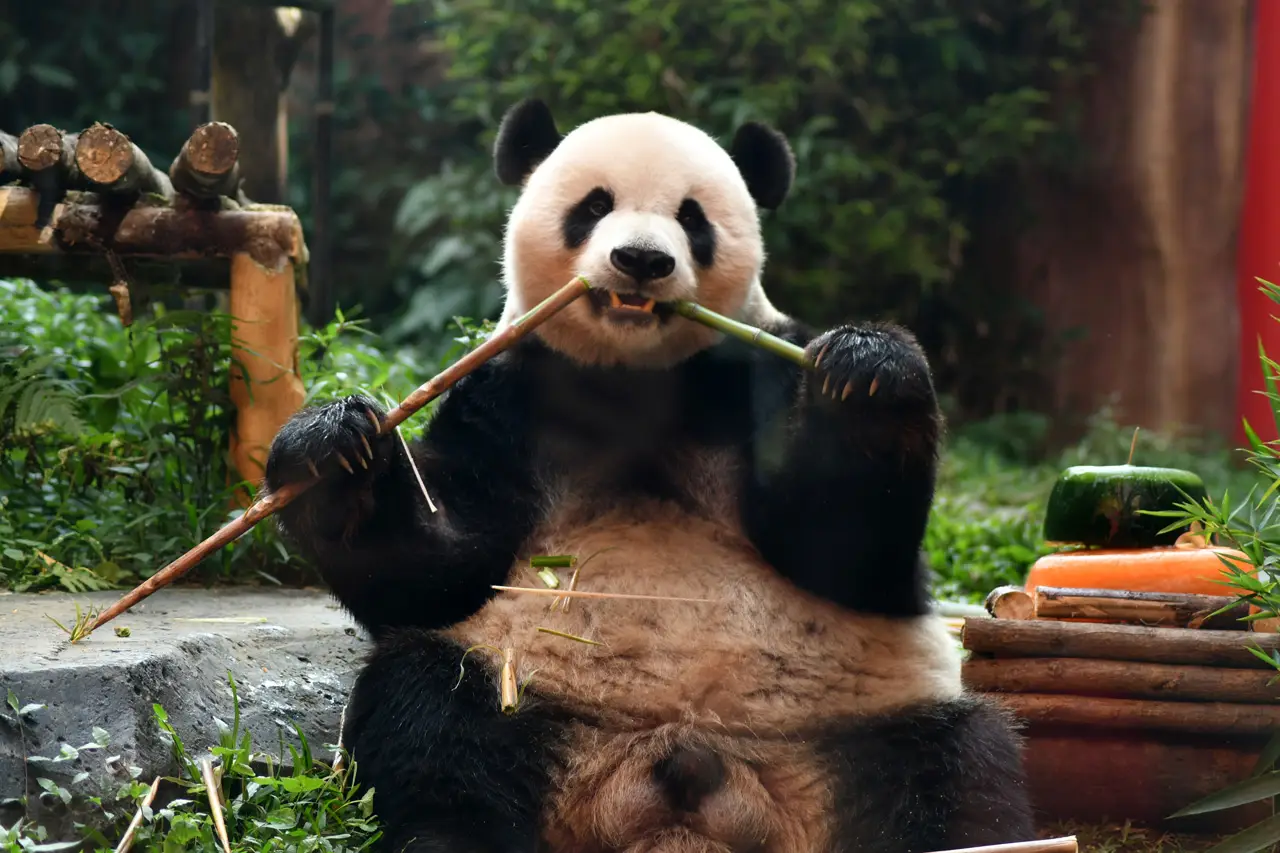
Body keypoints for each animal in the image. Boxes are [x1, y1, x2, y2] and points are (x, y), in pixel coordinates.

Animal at [264, 99, 1034, 853]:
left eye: (692, 218)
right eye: (594, 205)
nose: (640, 259)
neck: (635, 379)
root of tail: (676, 789)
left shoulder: (753, 374)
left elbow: (845, 549)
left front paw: (867, 375)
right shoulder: (506, 399)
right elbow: (442, 568)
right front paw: (333, 449)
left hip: (851, 732)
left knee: (957, 763)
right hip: (523, 695)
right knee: (430, 719)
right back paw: (447, 831)